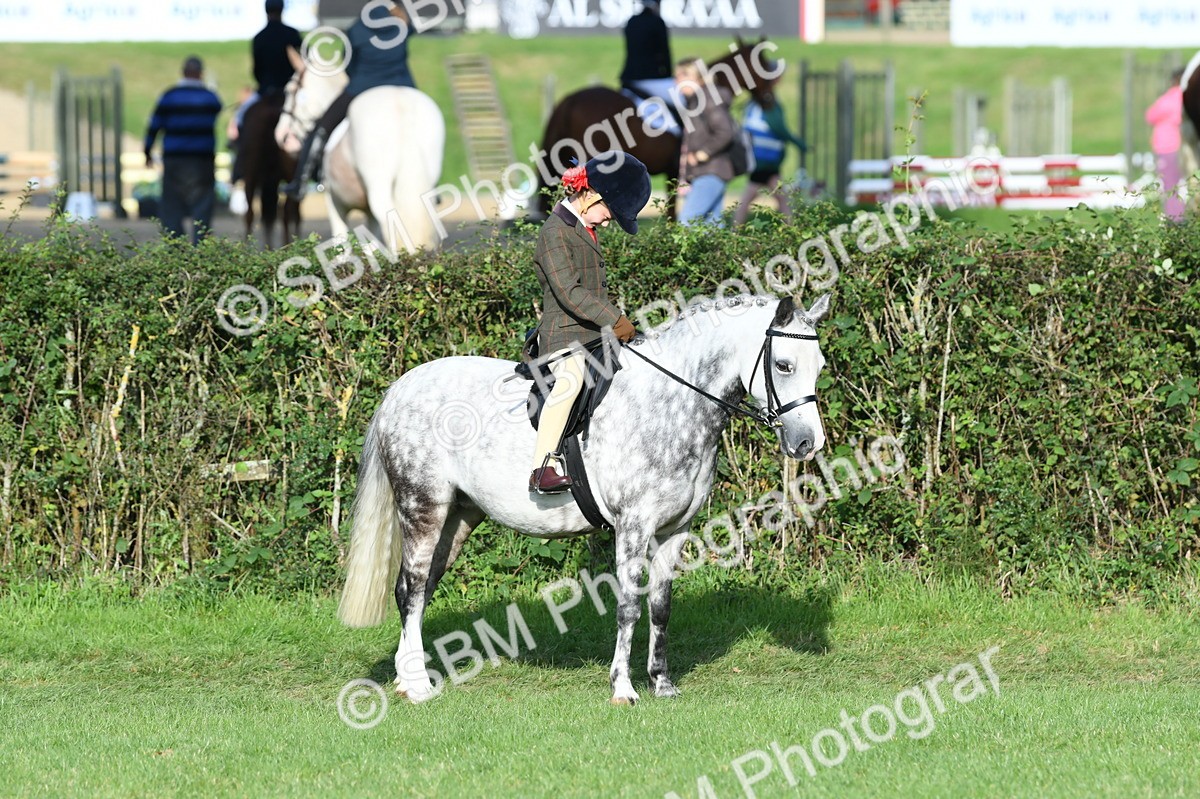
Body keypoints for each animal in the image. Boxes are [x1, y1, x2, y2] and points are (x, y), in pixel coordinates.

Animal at [277, 71, 446, 254]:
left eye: (289, 91)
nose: (281, 136)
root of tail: (400, 101)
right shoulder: (368, 212)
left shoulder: (334, 200)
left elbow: (340, 240)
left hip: (377, 183)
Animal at [338, 292, 830, 705]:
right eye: (784, 365)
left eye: (820, 365)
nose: (809, 444)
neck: (670, 403)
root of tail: (400, 389)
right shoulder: (633, 525)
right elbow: (629, 607)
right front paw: (623, 689)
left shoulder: (675, 529)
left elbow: (661, 607)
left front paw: (662, 684)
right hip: (423, 506)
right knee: (414, 587)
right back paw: (419, 686)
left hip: (459, 516)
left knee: (415, 589)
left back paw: (407, 677)